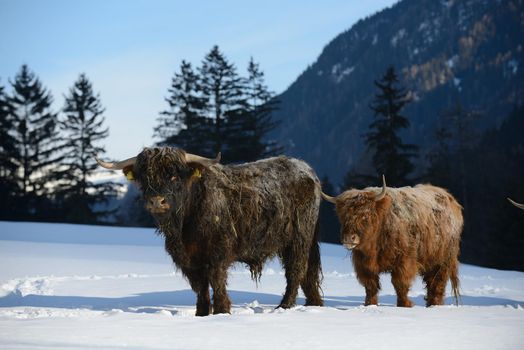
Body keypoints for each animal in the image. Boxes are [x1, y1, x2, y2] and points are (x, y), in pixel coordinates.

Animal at [95, 146, 322, 316]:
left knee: (296, 270)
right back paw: (314, 304)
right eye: (145, 178)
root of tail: (306, 169)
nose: (157, 202)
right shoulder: (188, 258)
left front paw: (222, 311)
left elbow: (216, 281)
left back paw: (284, 306)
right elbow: (200, 286)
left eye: (175, 176)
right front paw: (202, 314)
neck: (184, 225)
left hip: (299, 237)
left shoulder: (217, 252)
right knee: (308, 272)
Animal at [322, 176, 460, 308]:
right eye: (343, 216)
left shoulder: (404, 260)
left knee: (438, 282)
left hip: (443, 260)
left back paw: (435, 305)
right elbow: (370, 285)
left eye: (365, 215)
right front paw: (370, 305)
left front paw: (404, 305)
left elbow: (400, 283)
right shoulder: (363, 263)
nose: (349, 238)